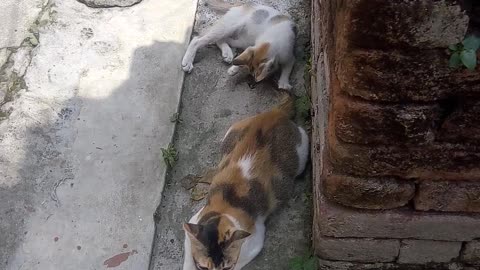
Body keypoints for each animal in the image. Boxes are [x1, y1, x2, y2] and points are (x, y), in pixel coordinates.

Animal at [182, 93, 310, 270]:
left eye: (226, 267)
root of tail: (274, 114)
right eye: (203, 267)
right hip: (231, 133)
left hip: (302, 149)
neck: (224, 209)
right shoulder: (194, 220)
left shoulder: (255, 241)